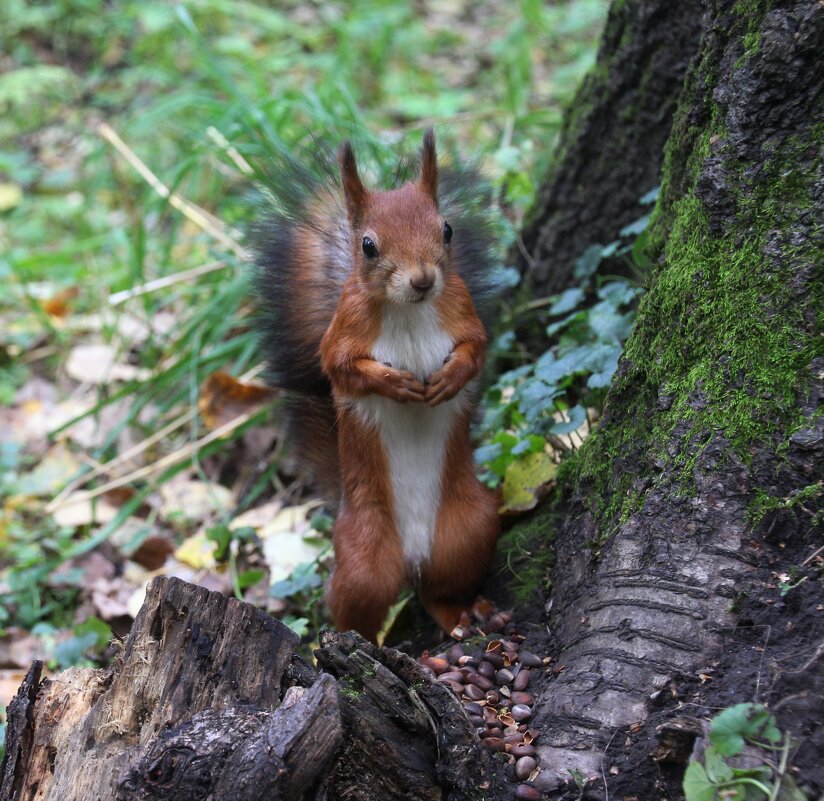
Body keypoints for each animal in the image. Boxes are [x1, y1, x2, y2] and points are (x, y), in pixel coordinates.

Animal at [258, 131, 498, 644]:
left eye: (447, 230)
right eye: (367, 246)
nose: (423, 280)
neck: (408, 309)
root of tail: (412, 559)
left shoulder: (463, 311)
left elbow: (476, 350)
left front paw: (447, 380)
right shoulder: (341, 333)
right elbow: (341, 368)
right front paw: (396, 384)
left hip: (469, 532)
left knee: (439, 591)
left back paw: (462, 617)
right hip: (363, 557)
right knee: (356, 608)